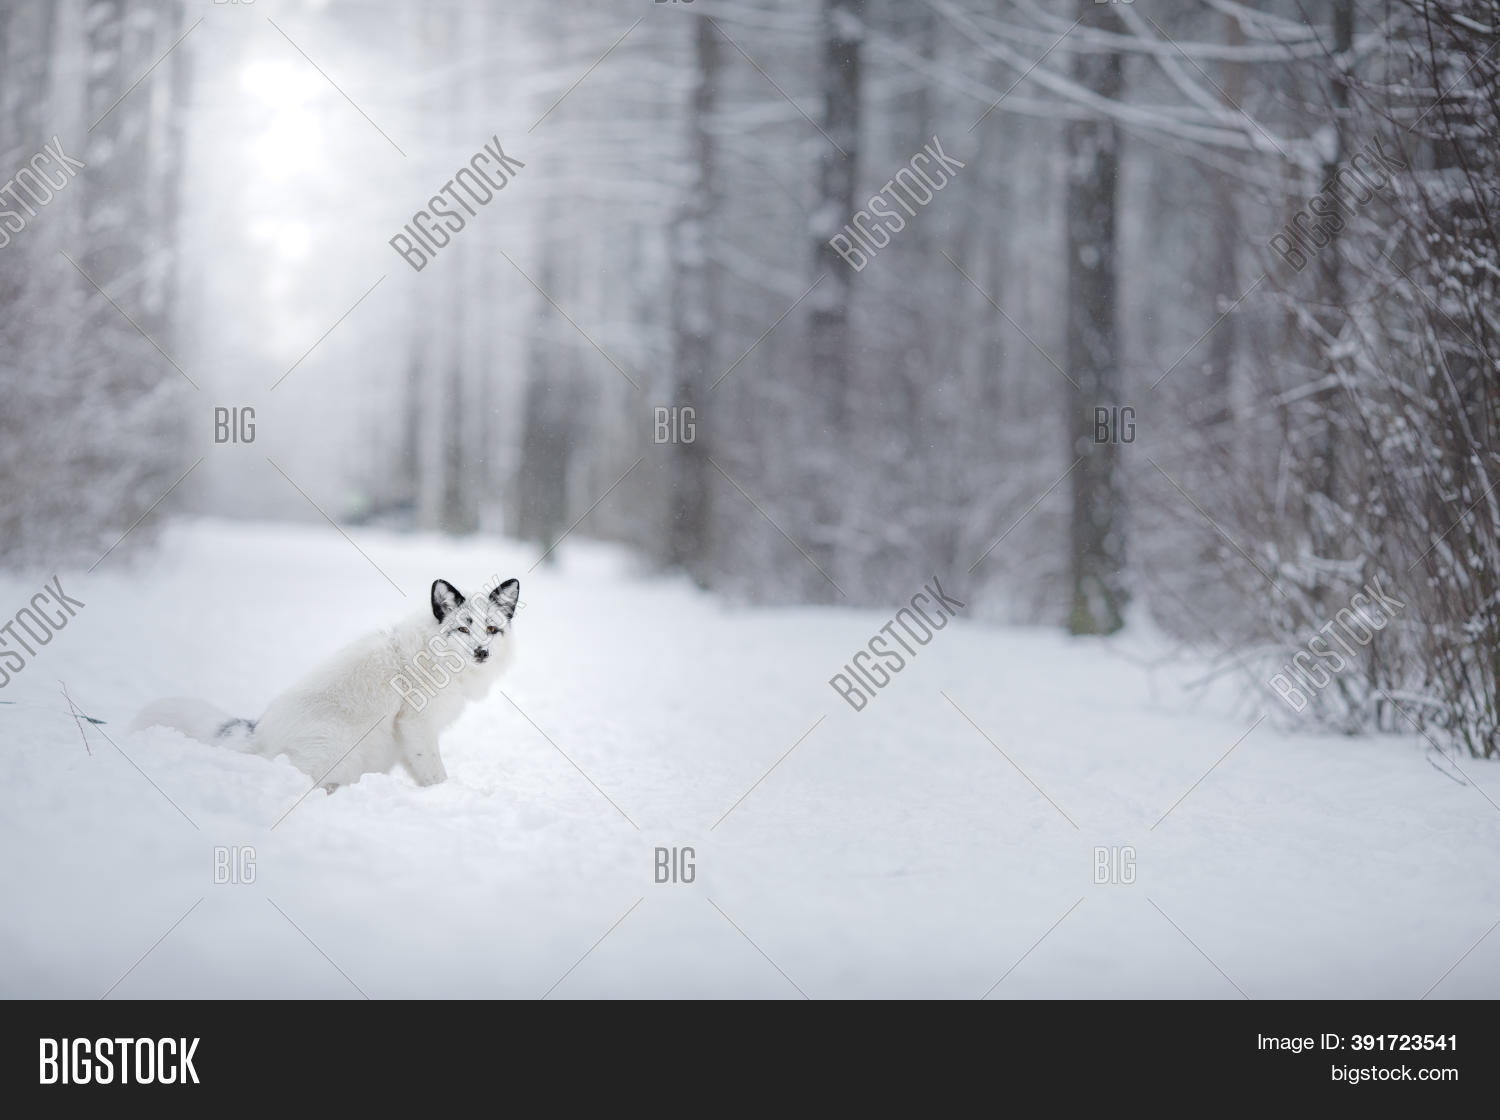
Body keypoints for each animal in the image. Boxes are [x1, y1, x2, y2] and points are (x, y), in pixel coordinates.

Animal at [130, 577, 519, 790]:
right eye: (463, 628)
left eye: (491, 628)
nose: (482, 652)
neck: (436, 657)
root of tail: (257, 735)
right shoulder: (416, 725)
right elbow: (436, 771)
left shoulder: (407, 739)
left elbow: (423, 772)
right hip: (339, 750)